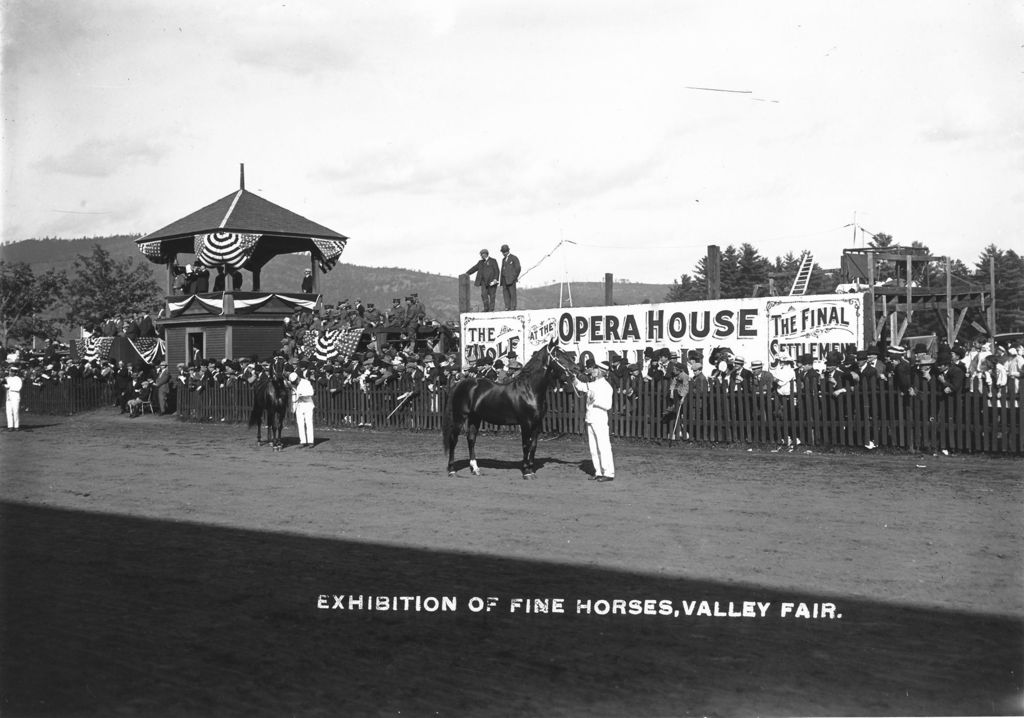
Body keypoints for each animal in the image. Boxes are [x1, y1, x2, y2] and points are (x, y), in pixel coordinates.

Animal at [444, 338, 581, 479]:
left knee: (471, 439)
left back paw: (475, 469)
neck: (530, 390)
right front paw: (526, 472)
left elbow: (533, 445)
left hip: (475, 418)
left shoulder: (537, 424)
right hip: (460, 417)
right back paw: (452, 470)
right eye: (558, 355)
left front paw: (531, 470)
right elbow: (526, 445)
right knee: (453, 440)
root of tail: (460, 384)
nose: (577, 368)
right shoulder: (526, 423)